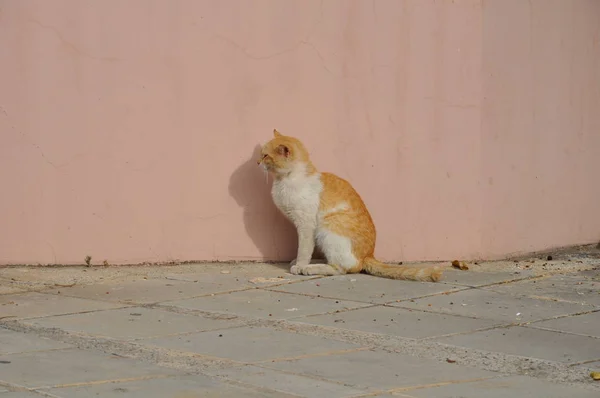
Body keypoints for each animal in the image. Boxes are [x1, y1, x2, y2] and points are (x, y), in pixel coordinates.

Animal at [255, 129, 442, 282]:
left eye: (265, 156)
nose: (257, 162)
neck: (288, 179)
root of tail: (368, 255)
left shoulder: (306, 225)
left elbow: (304, 249)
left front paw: (300, 265)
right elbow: (306, 248)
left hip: (327, 229)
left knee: (342, 268)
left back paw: (309, 268)